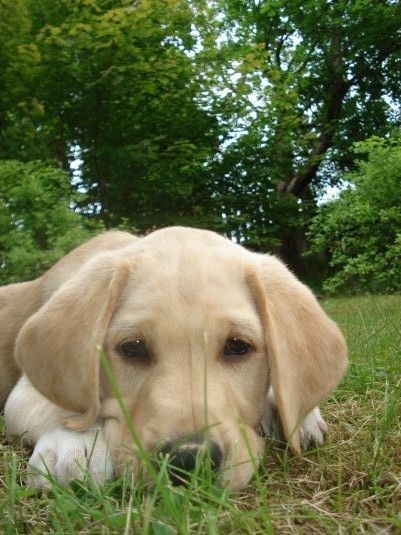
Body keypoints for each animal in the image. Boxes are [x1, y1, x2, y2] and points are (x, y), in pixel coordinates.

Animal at [0, 226, 346, 490]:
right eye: (133, 348)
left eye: (238, 346)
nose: (190, 459)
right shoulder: (22, 394)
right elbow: (63, 405)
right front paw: (73, 444)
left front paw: (301, 415)